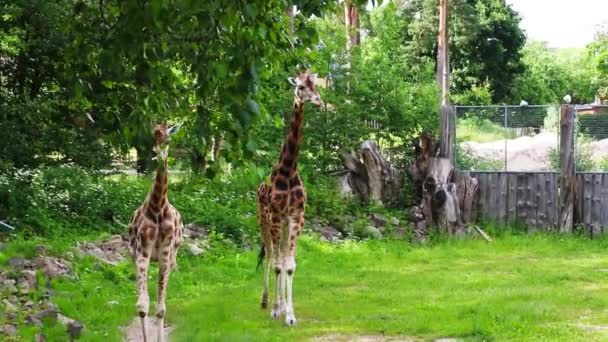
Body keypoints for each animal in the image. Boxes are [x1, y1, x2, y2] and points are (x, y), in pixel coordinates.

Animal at [127, 123, 183, 342]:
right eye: (154, 135)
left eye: (169, 138)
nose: (160, 154)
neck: (158, 207)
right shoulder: (142, 251)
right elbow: (142, 306)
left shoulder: (166, 253)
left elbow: (160, 308)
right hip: (139, 257)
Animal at [256, 69, 324, 326]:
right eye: (300, 87)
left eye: (315, 85)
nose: (319, 101)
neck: (288, 169)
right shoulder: (276, 217)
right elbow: (278, 265)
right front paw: (277, 310)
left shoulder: (296, 217)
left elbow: (290, 265)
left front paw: (290, 314)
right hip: (264, 222)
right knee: (269, 256)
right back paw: (266, 301)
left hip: (284, 226)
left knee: (281, 256)